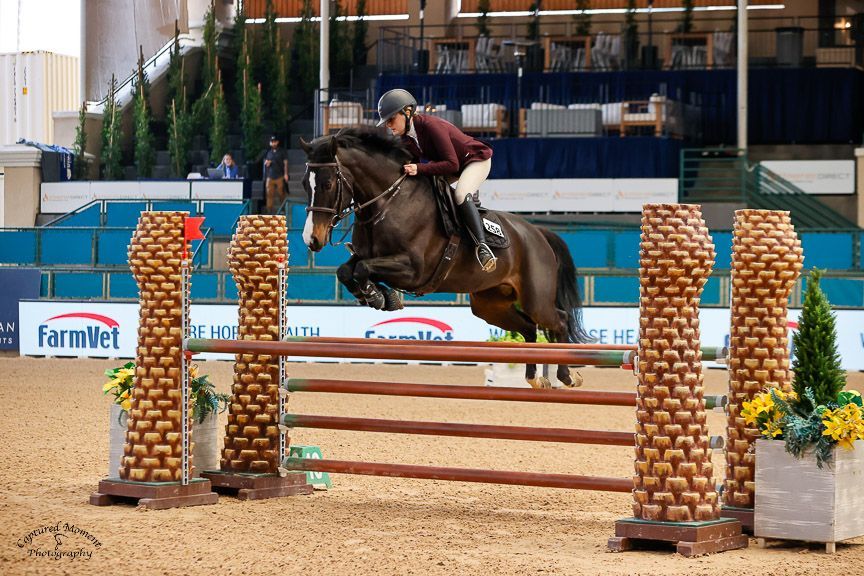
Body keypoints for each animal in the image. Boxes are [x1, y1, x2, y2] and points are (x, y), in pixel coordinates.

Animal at [299, 127, 591, 388]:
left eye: (327, 183)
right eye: (304, 184)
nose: (312, 240)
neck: (388, 203)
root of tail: (538, 233)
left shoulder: (413, 269)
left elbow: (362, 269)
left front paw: (378, 296)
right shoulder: (366, 256)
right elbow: (347, 271)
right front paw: (380, 296)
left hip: (535, 298)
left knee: (558, 320)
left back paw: (567, 376)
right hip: (490, 305)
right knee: (529, 328)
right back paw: (535, 378)